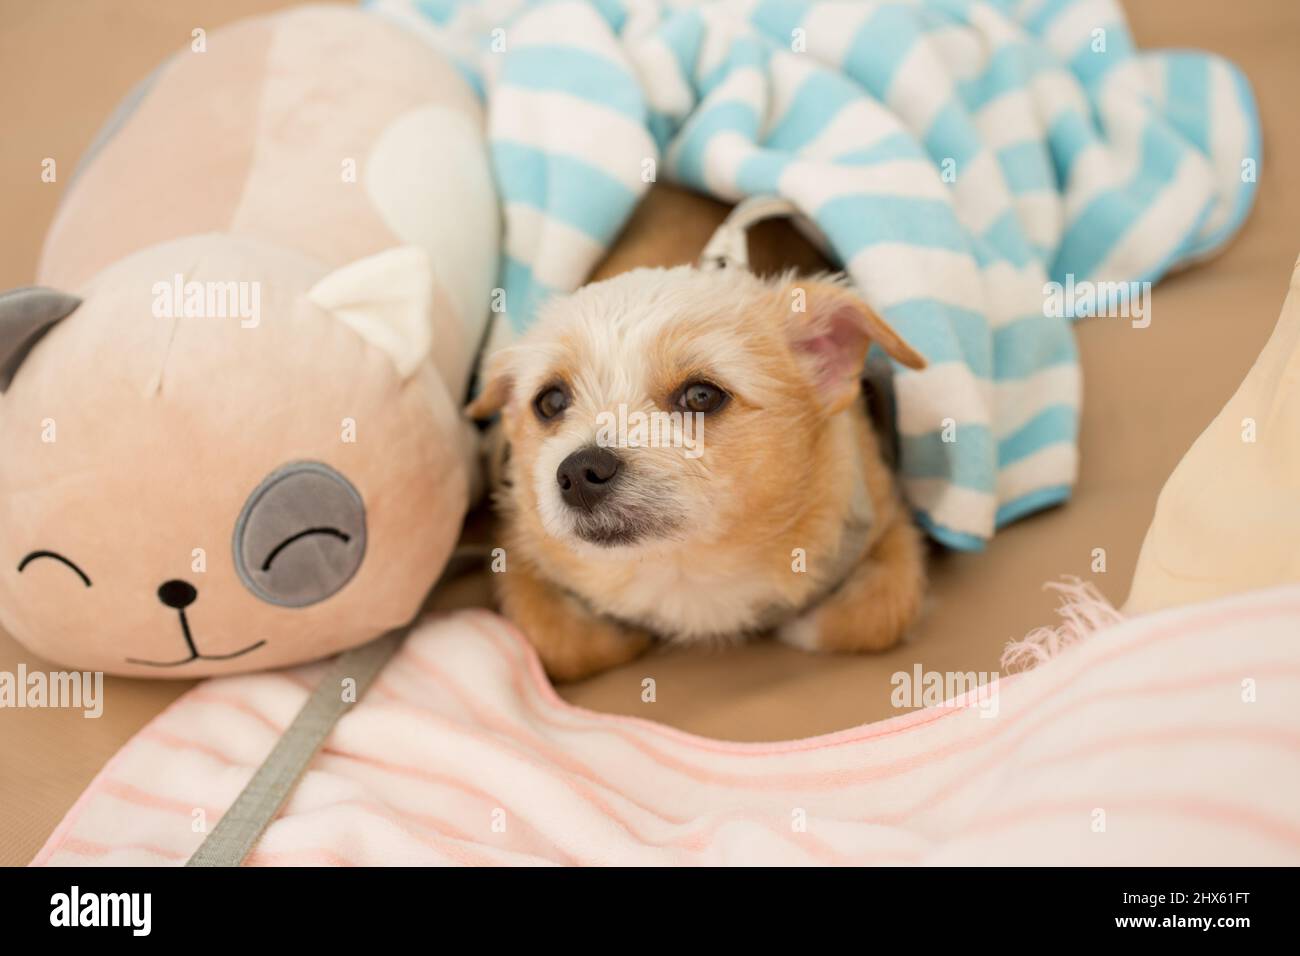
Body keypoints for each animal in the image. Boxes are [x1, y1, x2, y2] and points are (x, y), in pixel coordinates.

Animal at [465, 257, 925, 686]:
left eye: (702, 396)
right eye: (550, 401)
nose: (579, 473)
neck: (683, 570)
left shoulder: (888, 521)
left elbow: (880, 614)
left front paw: (800, 625)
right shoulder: (517, 551)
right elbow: (556, 641)